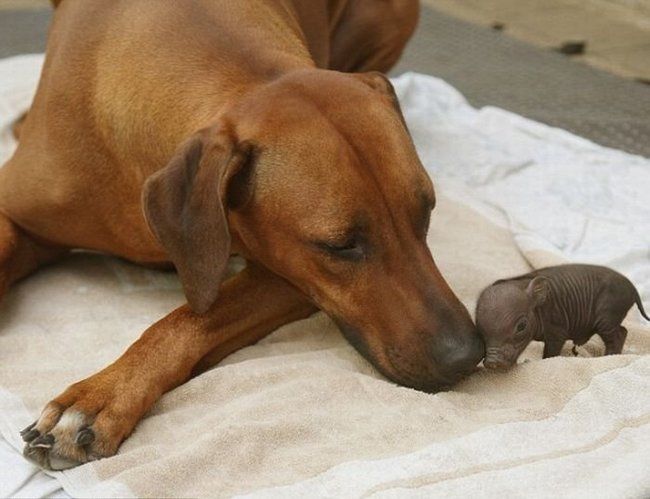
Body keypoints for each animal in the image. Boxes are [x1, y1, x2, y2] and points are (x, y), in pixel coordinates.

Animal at [2, 0, 484, 470]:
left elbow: (188, 320)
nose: (467, 355)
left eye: (426, 212)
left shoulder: (291, 275)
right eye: (341, 245)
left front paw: (100, 397)